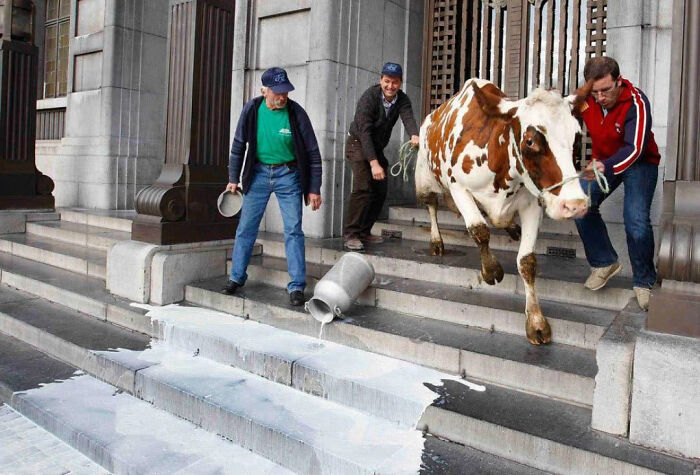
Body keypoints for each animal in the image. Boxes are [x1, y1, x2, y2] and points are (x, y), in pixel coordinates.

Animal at [416, 78, 592, 346]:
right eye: (530, 141)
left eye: (577, 138)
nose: (575, 204)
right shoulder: (458, 187)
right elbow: (479, 230)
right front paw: (491, 270)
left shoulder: (532, 203)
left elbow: (527, 262)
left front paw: (536, 322)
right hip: (425, 178)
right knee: (432, 206)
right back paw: (437, 241)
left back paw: (510, 226)